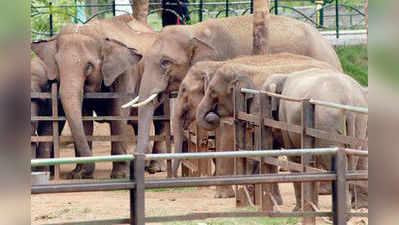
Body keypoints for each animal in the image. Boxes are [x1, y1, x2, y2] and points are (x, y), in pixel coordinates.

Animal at [30, 14, 158, 179]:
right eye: (57, 65)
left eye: (89, 66)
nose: (84, 171)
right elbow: (85, 120)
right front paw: (78, 174)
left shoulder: (125, 74)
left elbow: (118, 114)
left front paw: (119, 175)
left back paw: (153, 168)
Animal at [262, 69, 368, 211]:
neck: (284, 75)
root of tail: (348, 100)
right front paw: (312, 206)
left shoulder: (286, 119)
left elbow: (295, 158)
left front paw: (298, 209)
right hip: (359, 122)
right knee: (352, 158)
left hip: (327, 123)